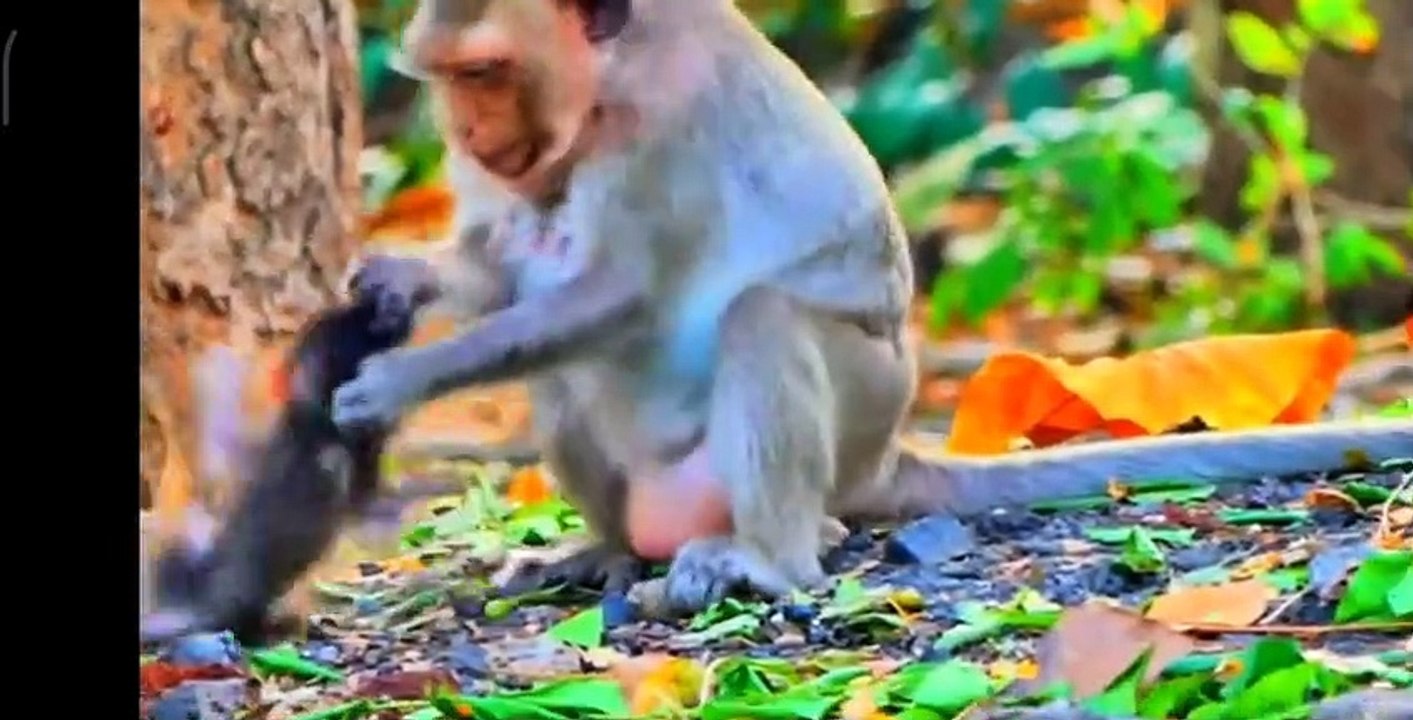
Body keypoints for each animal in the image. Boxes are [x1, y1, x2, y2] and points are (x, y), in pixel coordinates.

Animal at [330, 0, 1413, 619]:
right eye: (450, 82)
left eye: (485, 71)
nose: (467, 132)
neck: (608, 78)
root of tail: (888, 457)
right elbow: (508, 272)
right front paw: (402, 283)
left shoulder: (660, 118)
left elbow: (618, 291)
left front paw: (396, 379)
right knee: (562, 372)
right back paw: (604, 547)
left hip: (858, 417)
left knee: (762, 320)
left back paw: (768, 561)